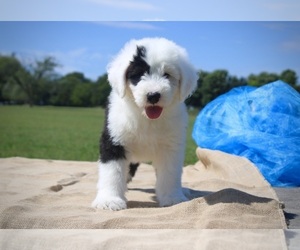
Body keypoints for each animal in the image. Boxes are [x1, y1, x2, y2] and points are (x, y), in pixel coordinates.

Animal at [92, 37, 198, 210]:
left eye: (167, 74)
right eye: (138, 74)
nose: (153, 95)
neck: (147, 119)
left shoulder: (171, 147)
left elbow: (170, 173)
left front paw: (172, 198)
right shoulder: (114, 140)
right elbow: (112, 171)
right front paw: (109, 200)